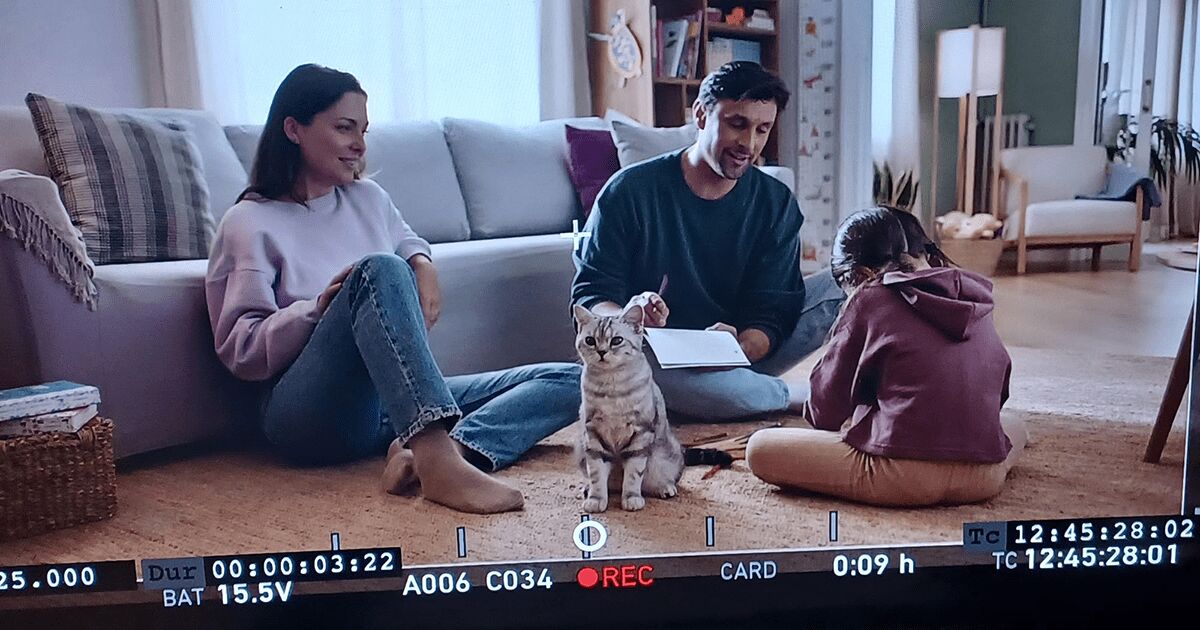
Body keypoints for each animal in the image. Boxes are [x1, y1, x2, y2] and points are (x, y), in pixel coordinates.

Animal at [573, 303, 686, 511]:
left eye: (616, 340)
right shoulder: (593, 434)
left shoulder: (640, 433)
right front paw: (596, 499)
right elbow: (596, 474)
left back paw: (665, 488)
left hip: (666, 458)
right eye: (590, 341)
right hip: (580, 448)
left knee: (657, 480)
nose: (601, 352)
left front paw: (632, 498)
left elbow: (634, 474)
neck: (611, 387)